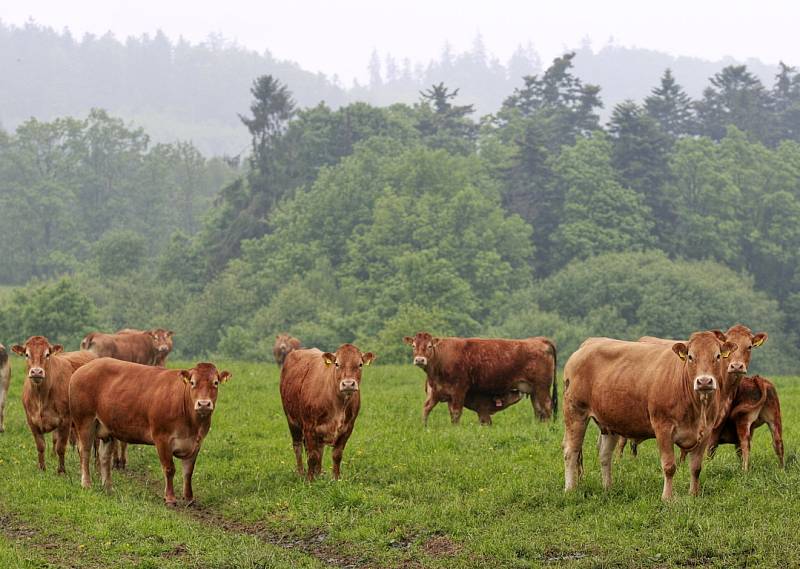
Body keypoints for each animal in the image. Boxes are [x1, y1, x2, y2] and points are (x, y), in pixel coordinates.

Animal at [10, 338, 96, 470]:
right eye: (27, 354)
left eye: (47, 354)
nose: (36, 371)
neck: (41, 397)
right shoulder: (31, 421)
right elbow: (40, 446)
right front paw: (42, 469)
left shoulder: (65, 421)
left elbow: (60, 447)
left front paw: (61, 470)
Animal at [68, 358, 231, 504]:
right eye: (192, 383)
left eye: (215, 383)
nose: (203, 404)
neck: (191, 424)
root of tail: (83, 368)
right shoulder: (162, 438)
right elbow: (169, 469)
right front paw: (170, 498)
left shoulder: (196, 442)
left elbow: (188, 471)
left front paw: (189, 498)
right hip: (85, 422)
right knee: (85, 452)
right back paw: (86, 484)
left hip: (107, 428)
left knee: (104, 456)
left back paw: (108, 487)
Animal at [280, 344, 374, 482]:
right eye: (337, 364)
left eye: (360, 364)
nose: (348, 384)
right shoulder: (309, 426)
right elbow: (312, 456)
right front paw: (310, 480)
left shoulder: (347, 428)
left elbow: (336, 455)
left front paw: (336, 478)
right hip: (292, 420)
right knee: (298, 447)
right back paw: (301, 473)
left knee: (320, 449)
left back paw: (318, 473)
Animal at [406, 330, 556, 424]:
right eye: (413, 346)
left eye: (429, 346)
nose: (420, 360)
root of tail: (539, 340)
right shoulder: (438, 391)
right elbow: (428, 410)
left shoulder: (459, 390)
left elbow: (456, 412)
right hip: (533, 389)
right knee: (539, 410)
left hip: (542, 387)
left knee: (547, 407)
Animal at [564, 330, 736, 500]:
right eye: (690, 357)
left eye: (717, 356)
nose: (704, 381)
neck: (696, 411)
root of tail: (589, 343)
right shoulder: (663, 428)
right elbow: (669, 466)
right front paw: (667, 498)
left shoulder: (705, 432)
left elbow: (696, 467)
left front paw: (694, 494)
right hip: (575, 412)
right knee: (571, 451)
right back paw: (570, 489)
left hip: (609, 422)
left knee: (605, 455)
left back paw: (608, 488)